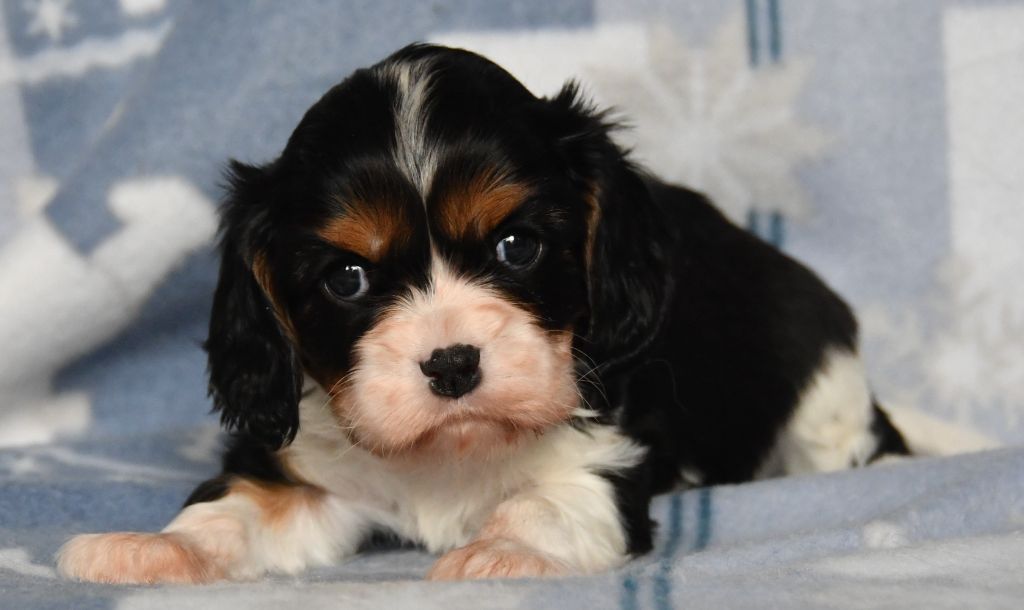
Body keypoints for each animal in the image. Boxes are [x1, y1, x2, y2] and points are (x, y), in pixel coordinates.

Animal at [56, 45, 909, 585]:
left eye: (516, 246)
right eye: (347, 278)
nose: (452, 363)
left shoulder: (604, 460)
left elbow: (546, 503)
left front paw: (495, 556)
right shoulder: (309, 474)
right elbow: (236, 510)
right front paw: (149, 550)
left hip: (821, 403)